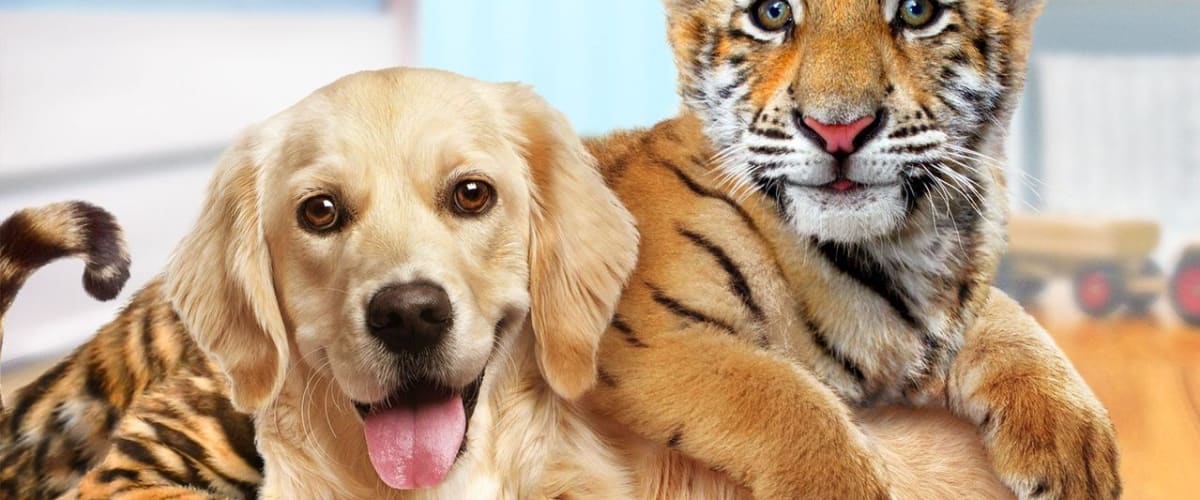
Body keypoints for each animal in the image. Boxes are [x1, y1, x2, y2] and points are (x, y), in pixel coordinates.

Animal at [579, 0, 1119, 498]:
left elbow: (1006, 319)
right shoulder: (647, 334)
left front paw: (1078, 451)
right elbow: (779, 395)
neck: (895, 250)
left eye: (917, 11)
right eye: (771, 14)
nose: (838, 130)